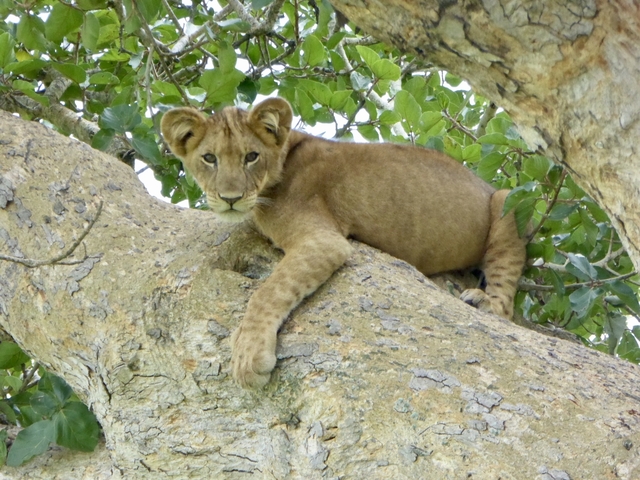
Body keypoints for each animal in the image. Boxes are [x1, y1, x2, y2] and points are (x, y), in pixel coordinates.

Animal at [161, 97, 527, 389]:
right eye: (209, 158)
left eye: (251, 156)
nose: (230, 199)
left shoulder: (323, 240)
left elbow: (267, 293)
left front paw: (249, 355)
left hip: (507, 201)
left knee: (506, 306)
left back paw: (482, 301)